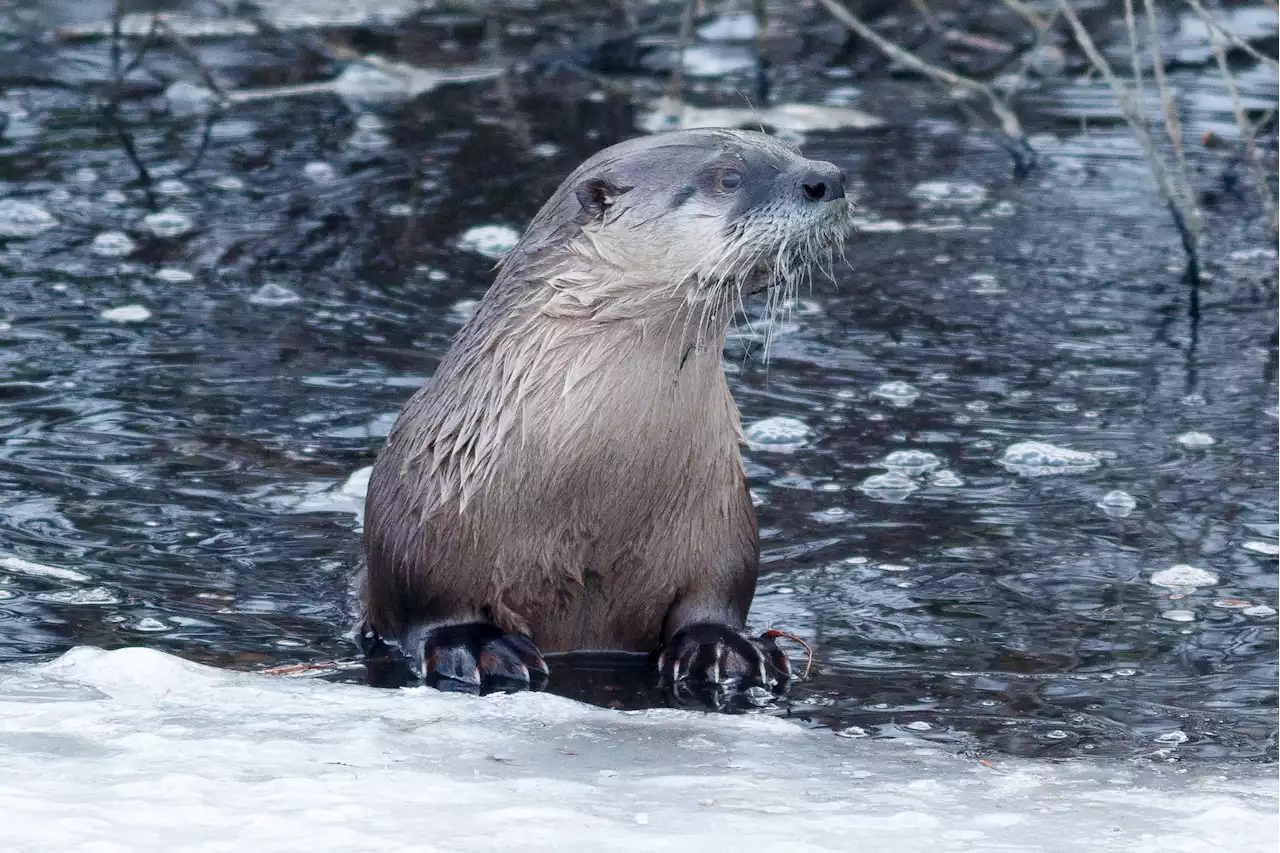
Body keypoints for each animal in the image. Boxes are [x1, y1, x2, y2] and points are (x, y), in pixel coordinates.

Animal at [360, 129, 855, 696]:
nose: (829, 177)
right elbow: (432, 603)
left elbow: (715, 598)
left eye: (788, 150)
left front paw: (722, 646)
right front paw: (474, 643)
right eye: (728, 177)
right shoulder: (423, 519)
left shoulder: (723, 522)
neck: (592, 486)